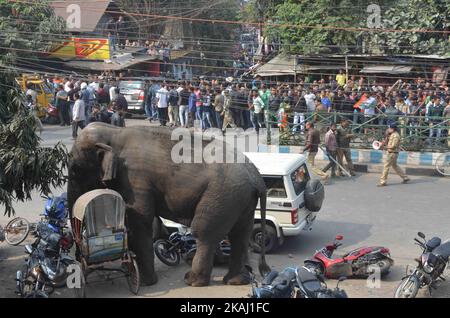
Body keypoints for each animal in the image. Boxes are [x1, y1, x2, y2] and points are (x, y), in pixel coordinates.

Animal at [68, 123, 268, 286]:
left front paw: (146, 283)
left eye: (76, 169)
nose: (78, 256)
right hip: (241, 199)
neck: (114, 131)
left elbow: (139, 221)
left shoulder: (135, 179)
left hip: (222, 195)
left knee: (204, 232)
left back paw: (192, 281)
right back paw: (235, 281)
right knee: (240, 234)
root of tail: (258, 178)